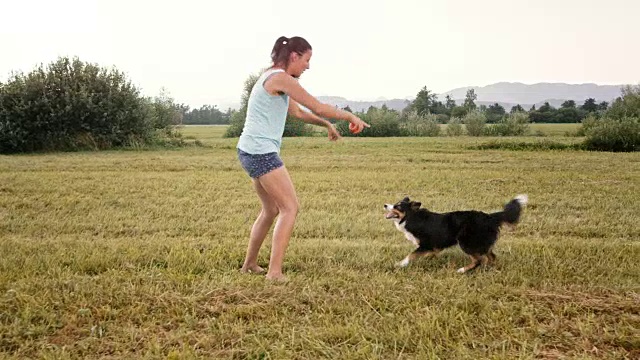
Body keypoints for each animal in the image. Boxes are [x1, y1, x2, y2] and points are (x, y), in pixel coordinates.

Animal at [384, 194, 524, 272]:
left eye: (398, 206)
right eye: (395, 204)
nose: (385, 205)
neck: (411, 217)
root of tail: (490, 217)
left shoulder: (426, 244)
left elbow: (411, 255)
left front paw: (400, 264)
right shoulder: (434, 246)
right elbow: (429, 254)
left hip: (466, 242)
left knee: (478, 260)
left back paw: (462, 270)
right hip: (480, 243)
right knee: (491, 257)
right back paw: (487, 269)